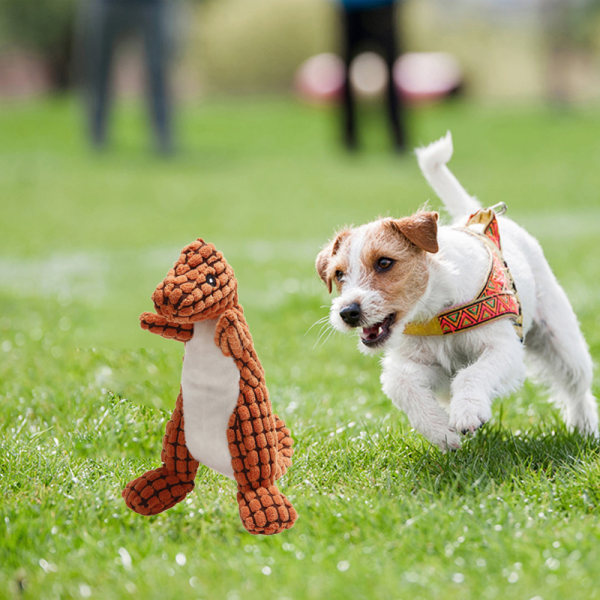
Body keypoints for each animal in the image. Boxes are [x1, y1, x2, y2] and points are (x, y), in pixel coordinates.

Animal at [316, 132, 596, 450]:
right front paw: (441, 431)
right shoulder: (424, 365)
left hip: (562, 341)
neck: (435, 311)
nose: (347, 312)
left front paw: (468, 412)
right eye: (338, 274)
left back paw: (585, 428)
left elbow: (472, 374)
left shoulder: (503, 349)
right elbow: (401, 384)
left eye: (384, 262)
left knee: (578, 387)